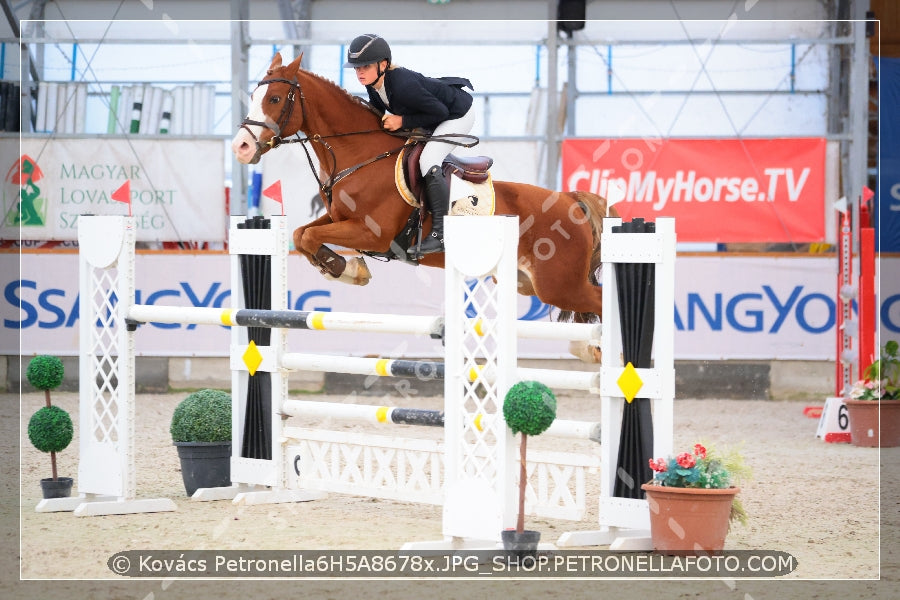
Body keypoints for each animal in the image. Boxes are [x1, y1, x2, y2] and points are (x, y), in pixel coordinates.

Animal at [229, 54, 616, 358]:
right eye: (255, 96)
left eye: (275, 98)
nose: (241, 148)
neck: (360, 155)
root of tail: (571, 201)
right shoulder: (339, 218)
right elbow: (301, 234)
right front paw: (345, 268)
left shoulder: (371, 233)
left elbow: (309, 237)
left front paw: (345, 268)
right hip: (531, 284)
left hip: (560, 286)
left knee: (600, 302)